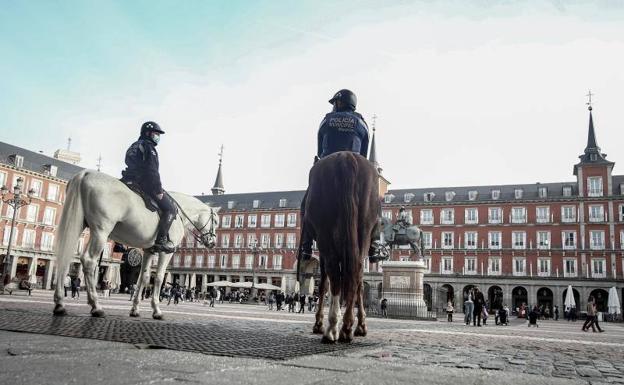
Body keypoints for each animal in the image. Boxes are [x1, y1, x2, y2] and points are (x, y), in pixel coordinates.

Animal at [53, 170, 219, 318]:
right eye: (216, 221)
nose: (212, 242)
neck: (179, 214)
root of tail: (85, 174)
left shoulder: (148, 250)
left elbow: (143, 277)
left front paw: (135, 309)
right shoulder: (167, 251)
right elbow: (159, 278)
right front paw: (157, 310)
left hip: (78, 224)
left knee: (65, 257)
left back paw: (60, 304)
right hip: (101, 230)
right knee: (88, 261)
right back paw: (96, 306)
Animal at [304, 151, 378, 342]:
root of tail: (346, 157)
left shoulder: (322, 253)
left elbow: (323, 285)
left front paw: (319, 323)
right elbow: (357, 283)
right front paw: (360, 325)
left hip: (325, 237)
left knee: (335, 276)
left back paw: (332, 329)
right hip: (363, 233)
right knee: (356, 274)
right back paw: (348, 326)